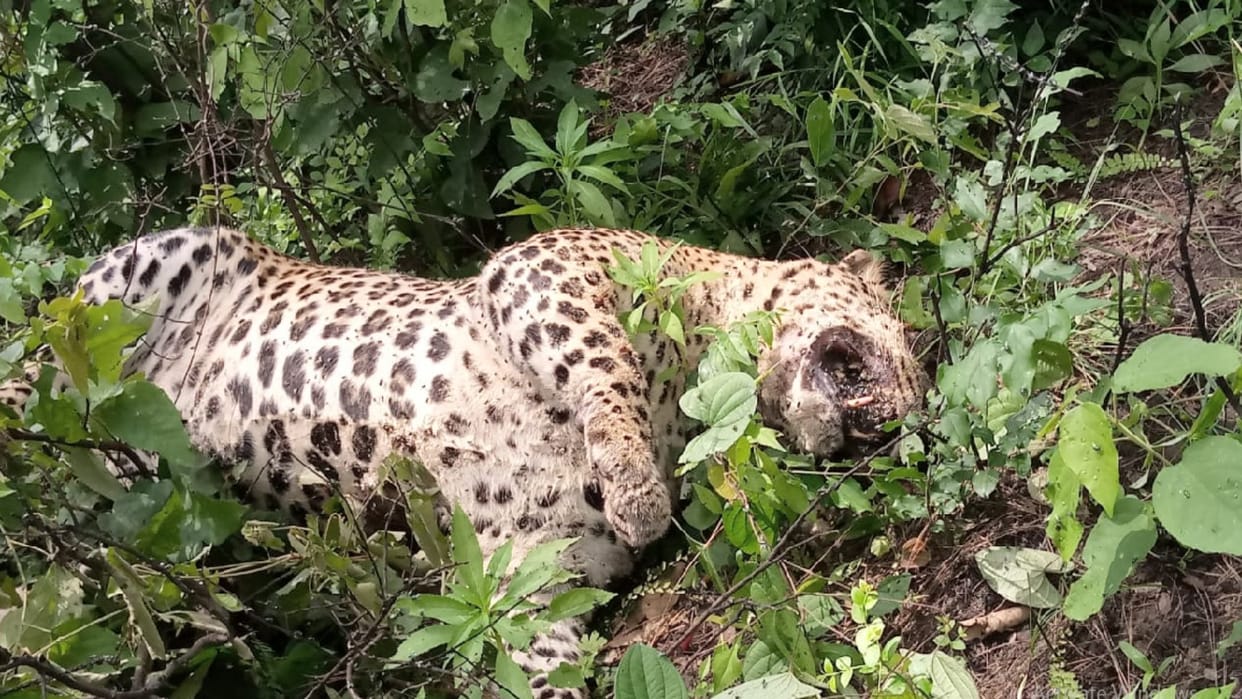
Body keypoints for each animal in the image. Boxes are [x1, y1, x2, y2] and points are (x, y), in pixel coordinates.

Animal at [0, 225, 926, 698]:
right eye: (902, 348)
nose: (880, 429)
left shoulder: (535, 574)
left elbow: (539, 662)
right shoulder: (548, 271)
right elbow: (607, 367)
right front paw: (636, 489)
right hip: (133, 278)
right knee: (29, 372)